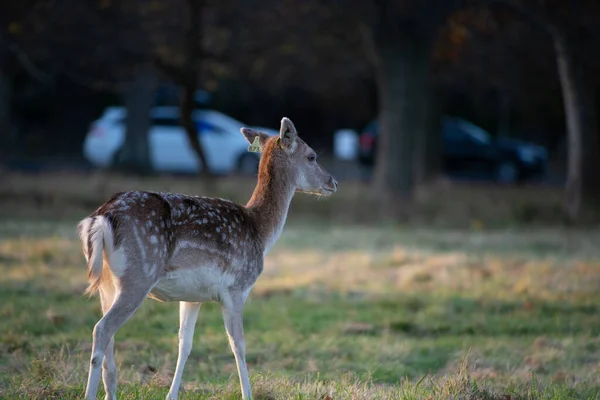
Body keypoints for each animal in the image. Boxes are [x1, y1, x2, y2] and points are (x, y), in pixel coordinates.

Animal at [76, 116, 338, 400]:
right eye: (312, 156)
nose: (333, 182)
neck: (260, 231)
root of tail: (100, 218)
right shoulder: (236, 288)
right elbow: (238, 344)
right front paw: (247, 394)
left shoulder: (193, 296)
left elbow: (185, 344)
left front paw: (172, 394)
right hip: (138, 274)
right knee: (102, 329)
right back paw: (90, 393)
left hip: (106, 282)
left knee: (108, 334)